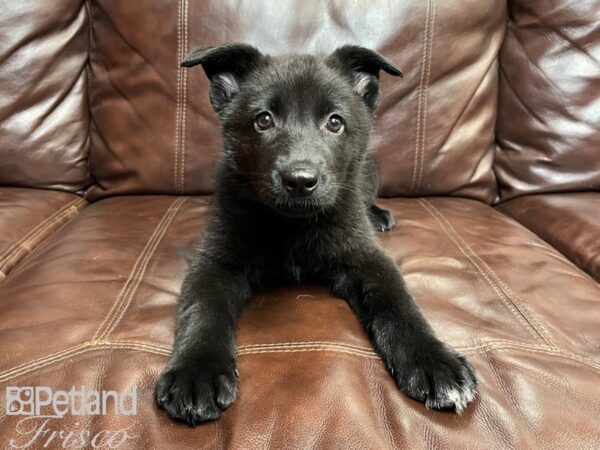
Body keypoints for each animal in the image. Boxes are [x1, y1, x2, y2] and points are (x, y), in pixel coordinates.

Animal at [156, 44, 478, 424]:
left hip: (369, 170)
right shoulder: (216, 261)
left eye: (335, 122)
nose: (300, 180)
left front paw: (434, 360)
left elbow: (398, 301)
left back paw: (379, 216)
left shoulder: (366, 256)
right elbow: (203, 308)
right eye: (263, 119)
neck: (292, 226)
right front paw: (196, 371)